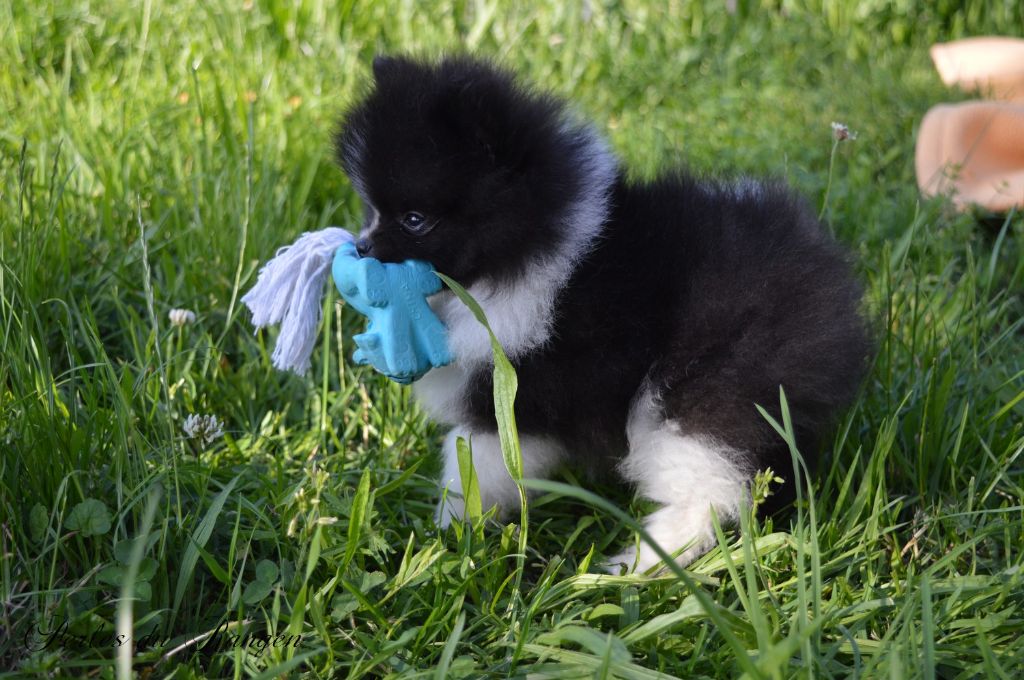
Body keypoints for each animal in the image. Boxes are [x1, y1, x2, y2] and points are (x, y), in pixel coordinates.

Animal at [335, 55, 869, 572]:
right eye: (370, 209)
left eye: (414, 220)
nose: (361, 249)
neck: (523, 249)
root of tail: (818, 284)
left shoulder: (508, 393)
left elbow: (471, 460)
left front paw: (449, 532)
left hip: (704, 387)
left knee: (711, 491)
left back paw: (639, 563)